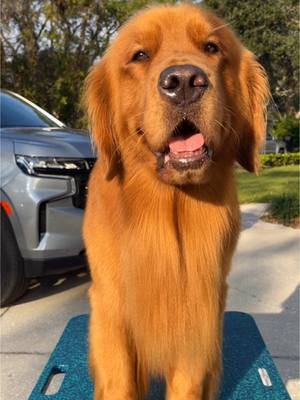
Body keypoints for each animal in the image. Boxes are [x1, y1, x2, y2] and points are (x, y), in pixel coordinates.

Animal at [82, 3, 270, 400]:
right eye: (139, 55)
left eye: (212, 48)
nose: (184, 81)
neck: (167, 207)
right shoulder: (112, 309)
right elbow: (120, 380)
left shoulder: (197, 310)